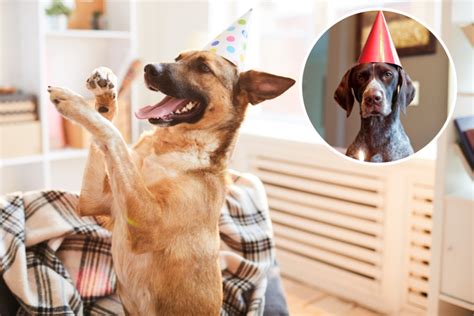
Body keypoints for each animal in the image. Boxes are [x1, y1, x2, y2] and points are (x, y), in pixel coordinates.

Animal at [47, 50, 292, 314]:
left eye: (204, 68)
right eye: (178, 58)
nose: (148, 68)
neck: (172, 144)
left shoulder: (147, 222)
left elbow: (114, 136)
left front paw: (73, 102)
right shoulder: (93, 200)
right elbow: (104, 132)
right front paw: (105, 91)